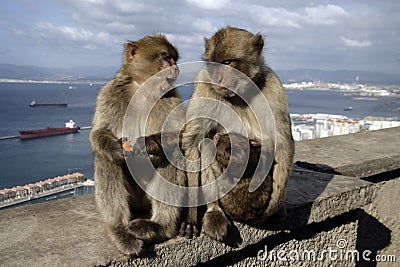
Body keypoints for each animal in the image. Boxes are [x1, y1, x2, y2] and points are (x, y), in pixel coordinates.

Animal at [89, 34, 184, 258]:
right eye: (166, 57)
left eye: (174, 58)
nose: (176, 67)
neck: (143, 87)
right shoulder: (109, 93)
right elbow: (98, 133)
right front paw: (115, 148)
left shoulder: (171, 97)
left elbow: (180, 137)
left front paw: (148, 143)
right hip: (133, 200)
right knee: (105, 159)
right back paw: (120, 229)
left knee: (170, 157)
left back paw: (160, 226)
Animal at [181, 27, 294, 243]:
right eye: (213, 65)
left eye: (227, 63)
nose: (218, 78)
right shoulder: (205, 84)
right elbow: (193, 141)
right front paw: (191, 216)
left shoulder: (272, 84)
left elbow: (282, 141)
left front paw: (274, 206)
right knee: (206, 144)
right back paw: (214, 212)